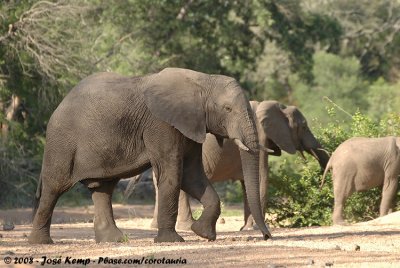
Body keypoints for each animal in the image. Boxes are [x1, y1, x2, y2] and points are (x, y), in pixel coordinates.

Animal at [148, 100, 330, 230]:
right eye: (304, 126)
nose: (320, 189)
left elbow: (248, 183)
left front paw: (246, 228)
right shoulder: (259, 137)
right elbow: (261, 178)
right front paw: (255, 228)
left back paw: (156, 227)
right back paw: (185, 227)